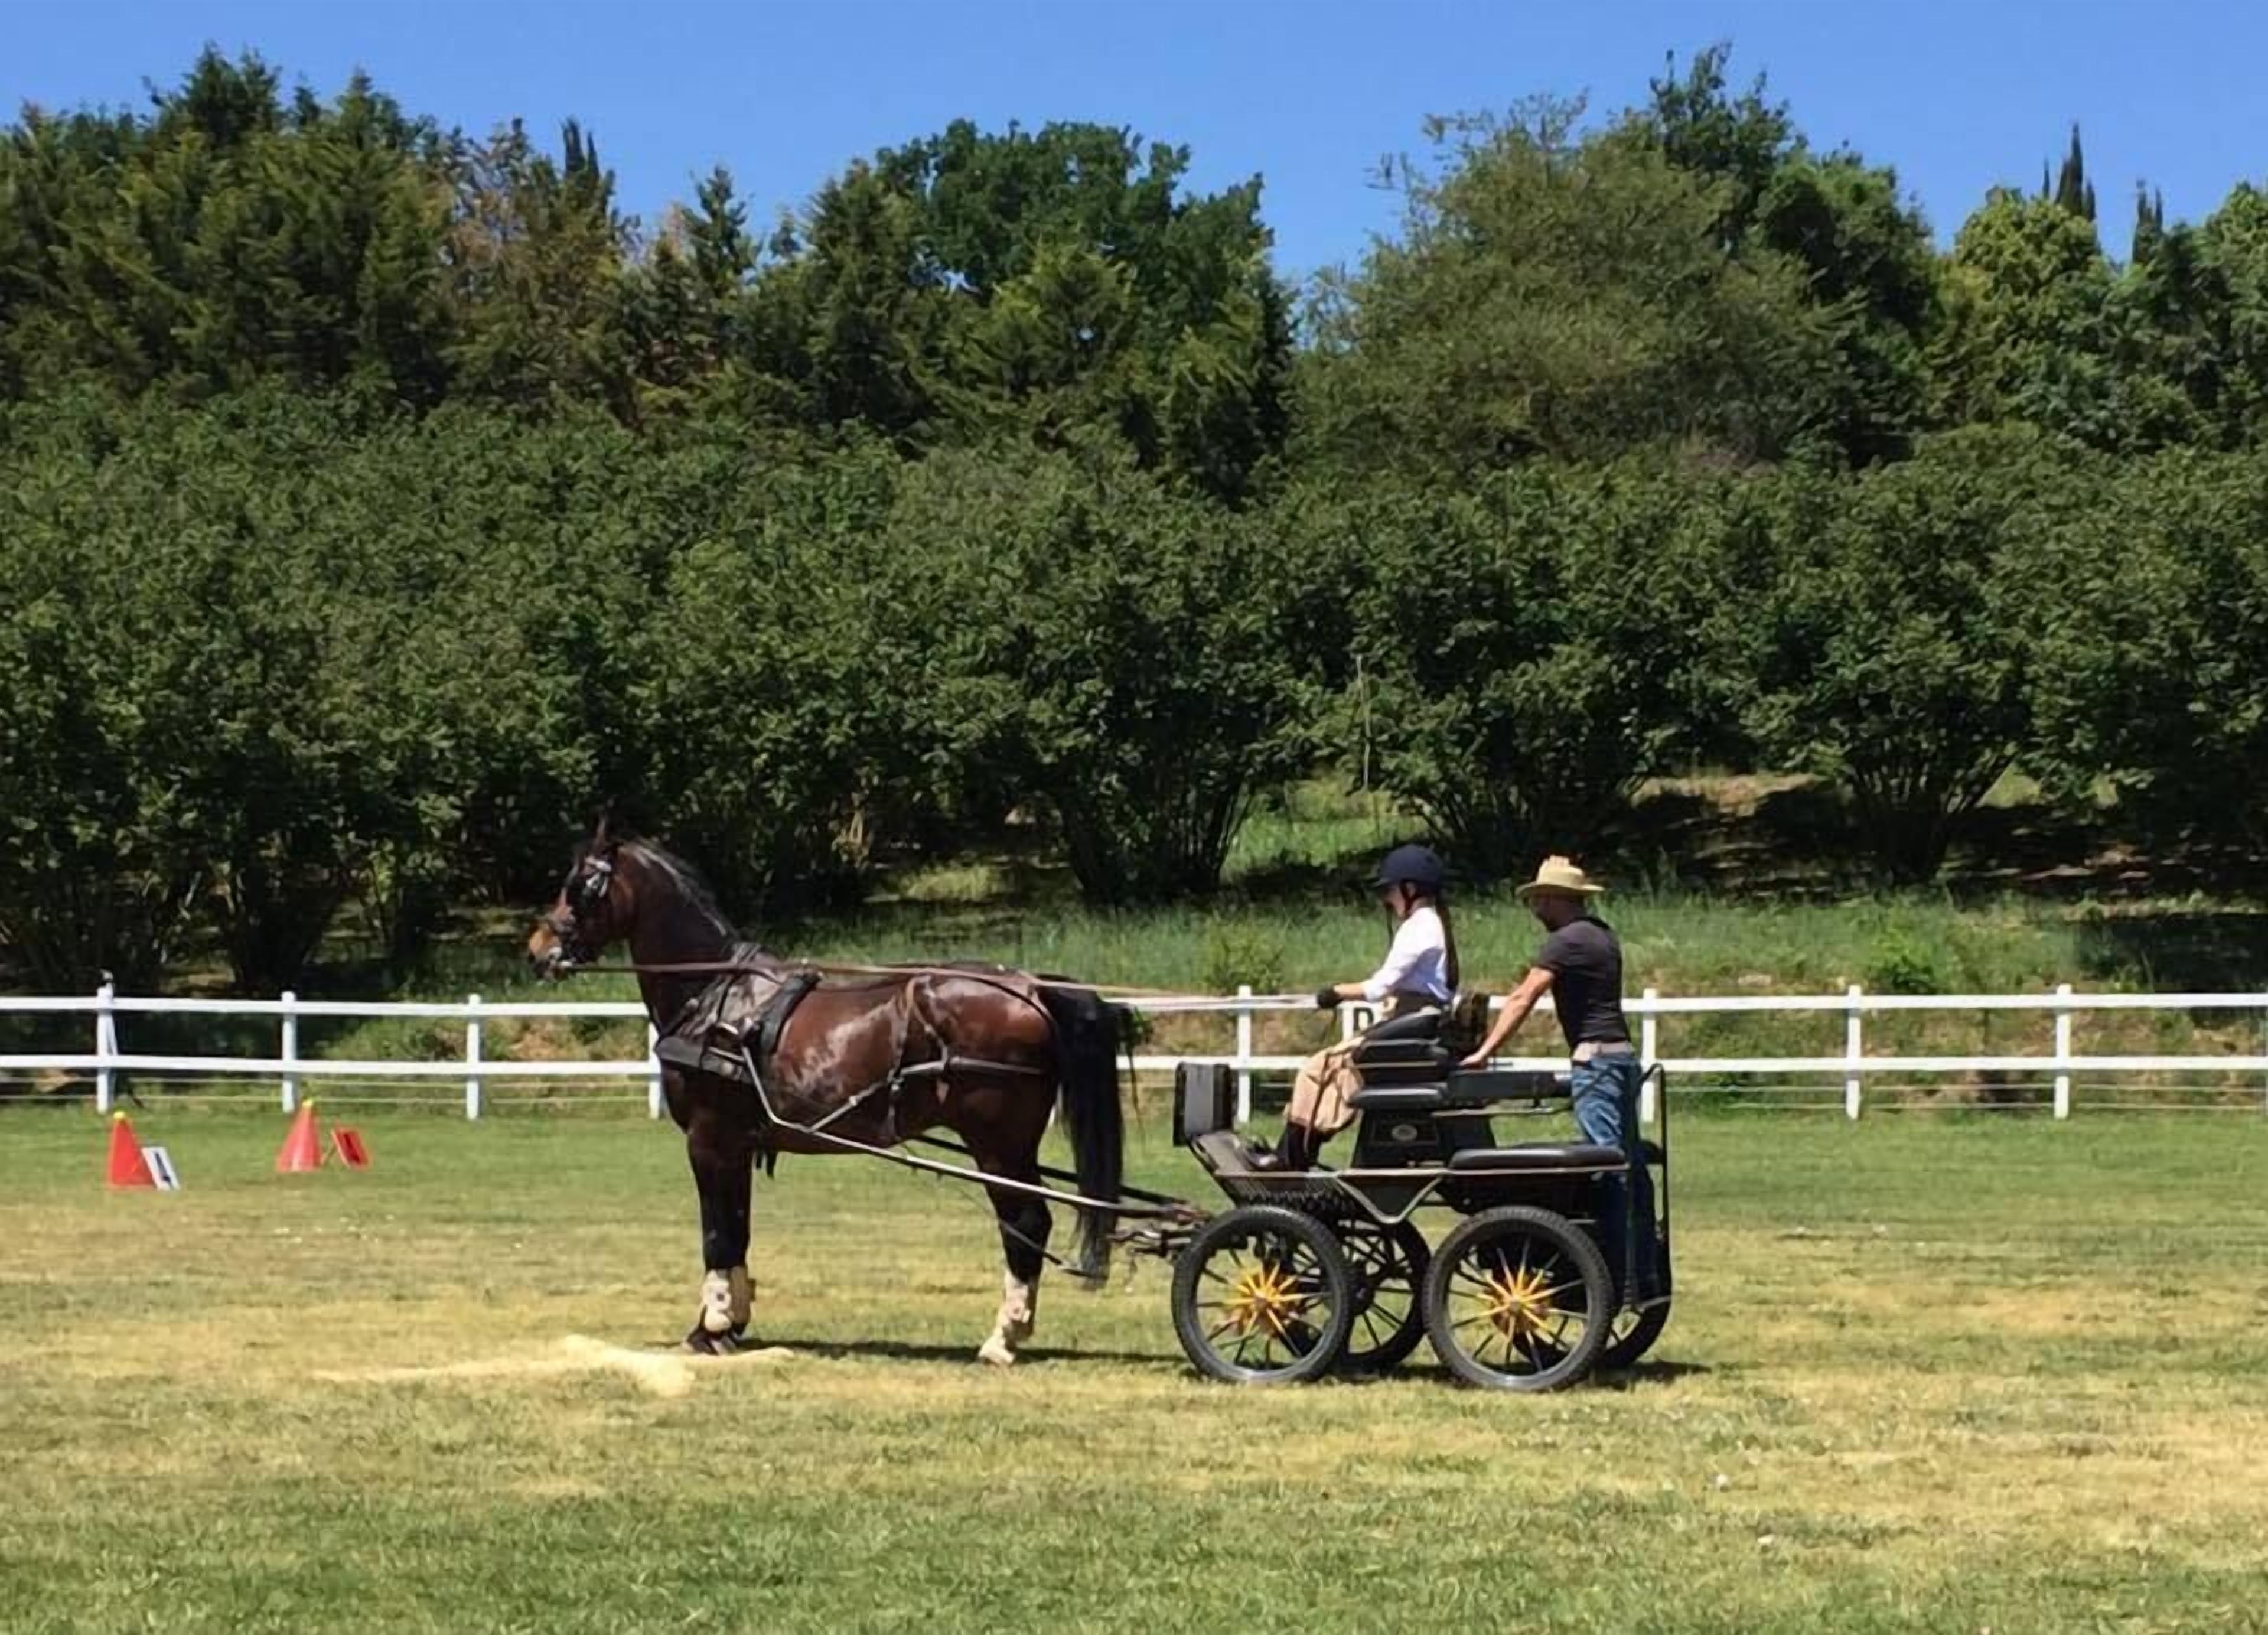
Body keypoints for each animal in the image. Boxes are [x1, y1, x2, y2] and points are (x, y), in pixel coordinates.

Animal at [524, 822, 1127, 1365]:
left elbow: (716, 1234)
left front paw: (709, 1327)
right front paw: (732, 1322)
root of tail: (1031, 988)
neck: (717, 998)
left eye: (578, 885)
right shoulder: (738, 1143)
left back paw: (1003, 1338)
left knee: (1027, 1224)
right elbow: (738, 1230)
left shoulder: (707, 1138)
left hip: (998, 1144)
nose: (537, 950)